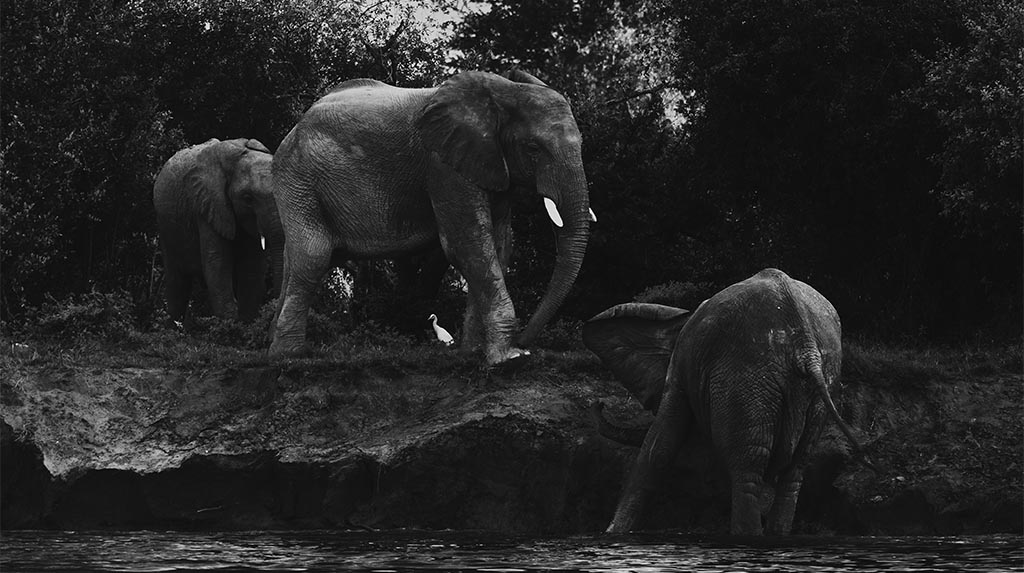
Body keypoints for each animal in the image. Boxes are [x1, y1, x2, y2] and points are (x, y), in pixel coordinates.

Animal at [153, 138, 284, 323]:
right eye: (247, 198)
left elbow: (252, 268)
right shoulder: (207, 206)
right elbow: (218, 265)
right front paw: (229, 326)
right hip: (166, 227)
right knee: (176, 283)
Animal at [269, 69, 594, 364]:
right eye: (533, 148)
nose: (526, 344)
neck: (503, 92)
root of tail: (292, 131)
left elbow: (499, 246)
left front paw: (472, 354)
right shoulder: (442, 165)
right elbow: (468, 245)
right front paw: (508, 359)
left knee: (299, 260)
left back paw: (271, 345)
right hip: (298, 179)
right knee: (314, 256)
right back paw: (288, 356)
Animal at [583, 268, 870, 535]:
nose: (598, 403)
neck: (678, 319)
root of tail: (805, 344)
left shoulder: (680, 366)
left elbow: (659, 447)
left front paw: (614, 533)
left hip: (747, 377)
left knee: (747, 468)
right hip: (818, 384)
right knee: (795, 469)